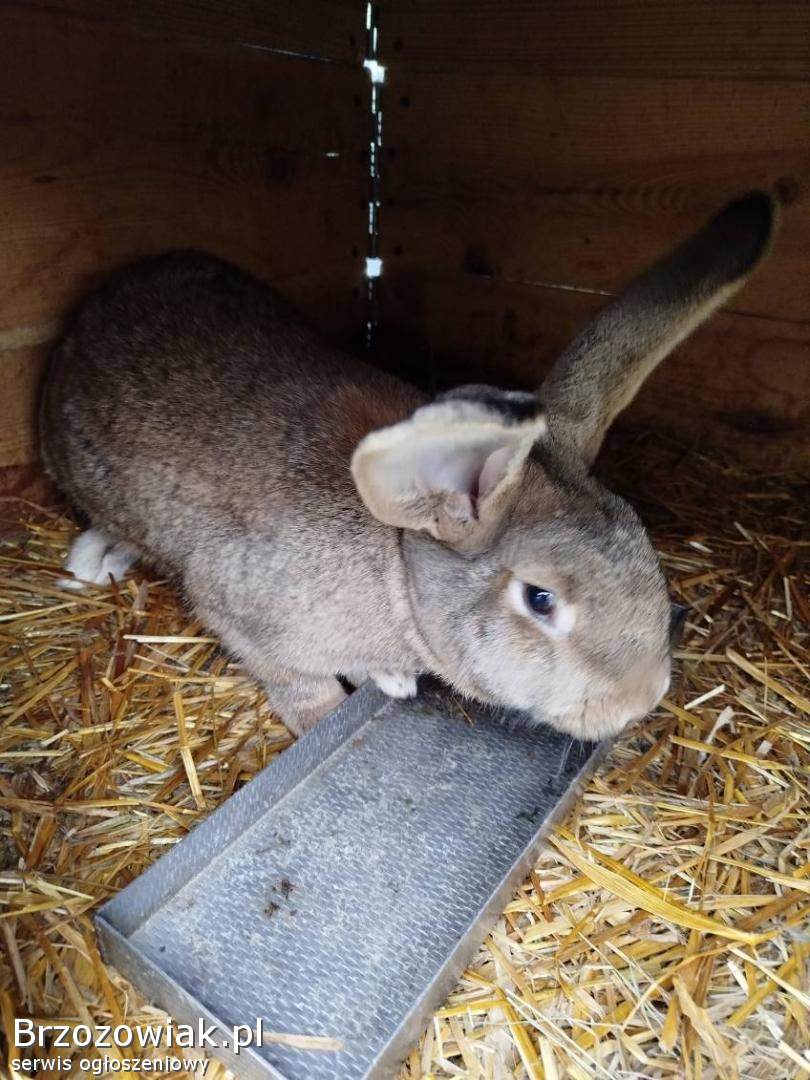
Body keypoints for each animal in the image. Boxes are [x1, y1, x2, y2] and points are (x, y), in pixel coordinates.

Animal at [40, 192, 776, 739]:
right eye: (540, 600)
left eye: (647, 553)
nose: (640, 700)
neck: (398, 566)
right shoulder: (240, 611)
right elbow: (297, 684)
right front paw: (332, 713)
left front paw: (388, 678)